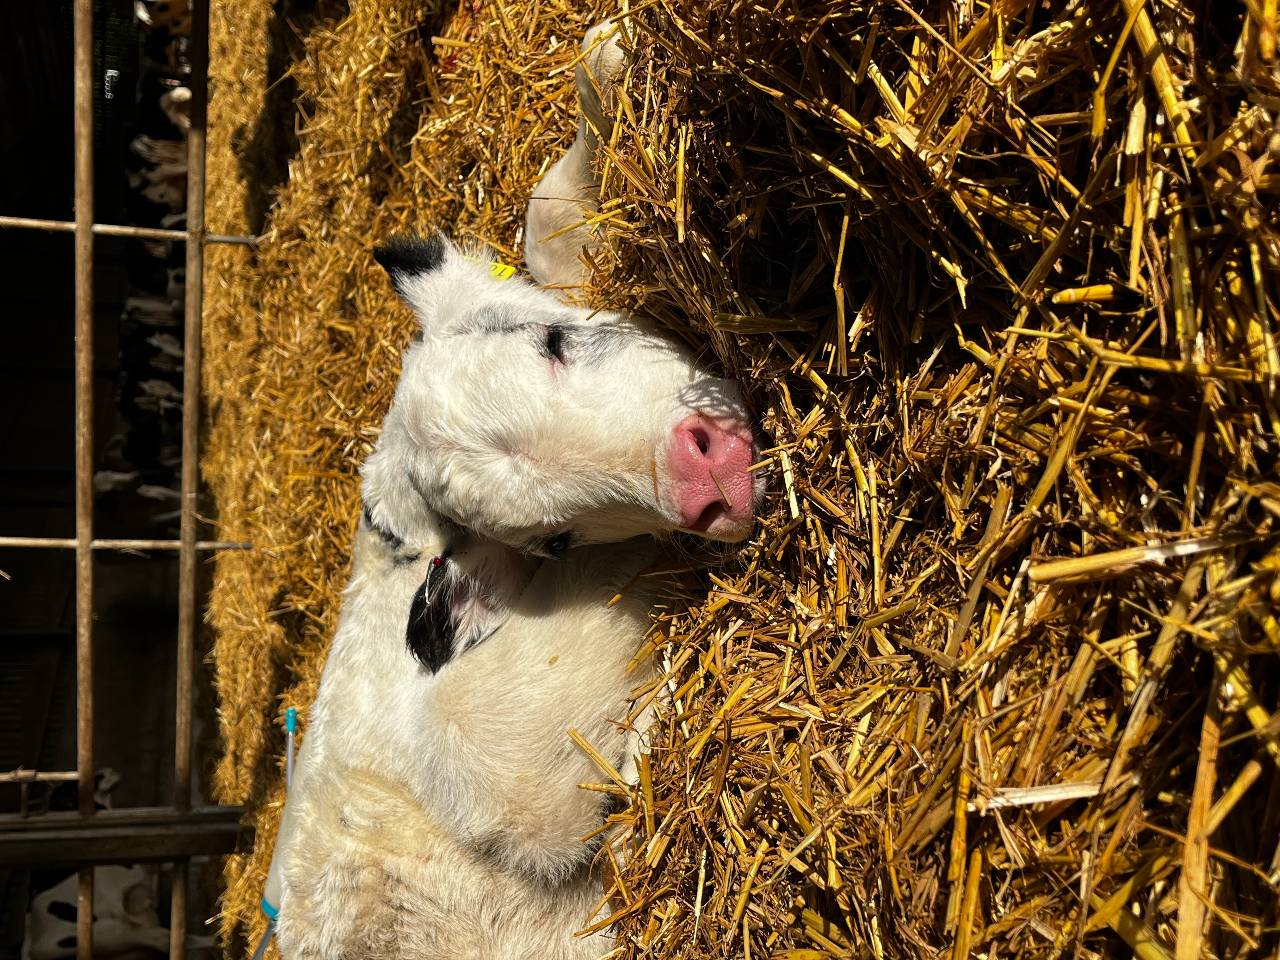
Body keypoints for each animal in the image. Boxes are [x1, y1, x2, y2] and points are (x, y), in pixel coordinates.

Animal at [264, 20, 762, 959]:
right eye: (552, 540)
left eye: (554, 340)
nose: (703, 475)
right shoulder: (499, 767)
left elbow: (549, 214)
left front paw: (608, 61)